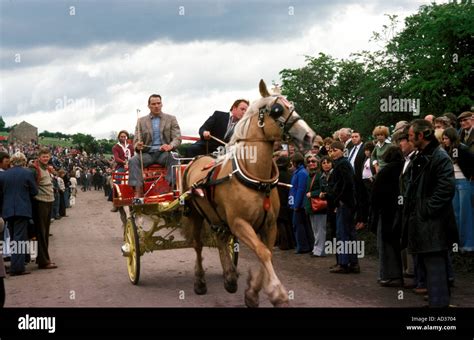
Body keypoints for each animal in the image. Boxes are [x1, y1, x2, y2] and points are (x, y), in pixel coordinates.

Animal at [183, 79, 316, 308]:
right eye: (277, 109)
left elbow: (266, 253)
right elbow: (262, 252)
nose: (309, 136)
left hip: (217, 218)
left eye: (291, 105)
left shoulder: (270, 225)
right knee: (198, 246)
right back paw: (200, 282)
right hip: (196, 215)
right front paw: (277, 293)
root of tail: (197, 160)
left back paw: (229, 277)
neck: (256, 178)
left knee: (220, 240)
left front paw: (253, 292)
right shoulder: (240, 223)